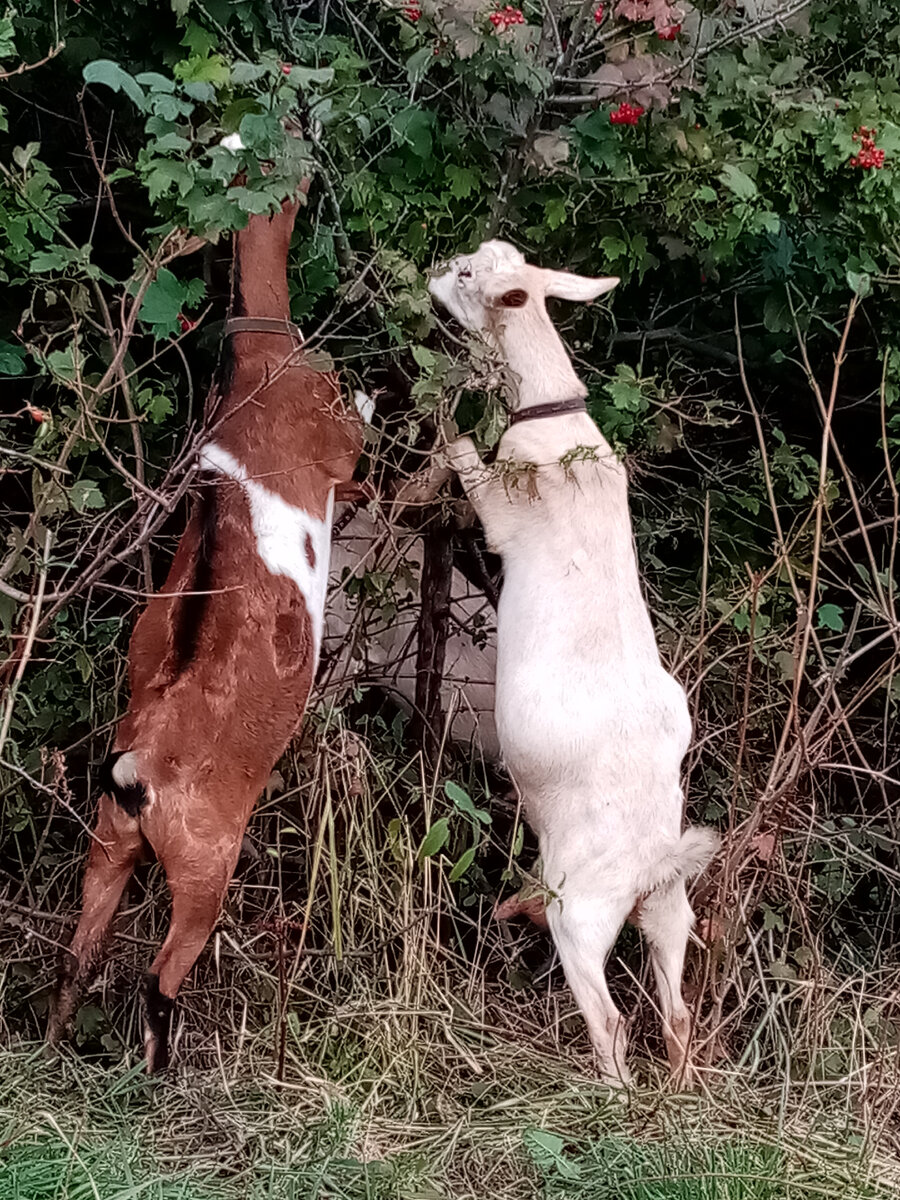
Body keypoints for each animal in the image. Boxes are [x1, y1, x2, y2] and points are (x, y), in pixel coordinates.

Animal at [49, 194, 364, 1070]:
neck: (260, 357)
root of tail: (137, 772)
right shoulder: (338, 443)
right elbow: (360, 439)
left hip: (110, 843)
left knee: (77, 954)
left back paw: (50, 1052)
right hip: (203, 864)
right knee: (158, 974)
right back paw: (158, 1070)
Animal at [429, 238, 720, 1084]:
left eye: (471, 276)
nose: (433, 271)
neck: (557, 422)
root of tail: (653, 860)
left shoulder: (502, 507)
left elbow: (463, 450)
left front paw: (430, 407)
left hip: (582, 915)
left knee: (614, 1022)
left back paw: (612, 1097)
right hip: (669, 910)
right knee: (678, 1013)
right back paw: (676, 1093)